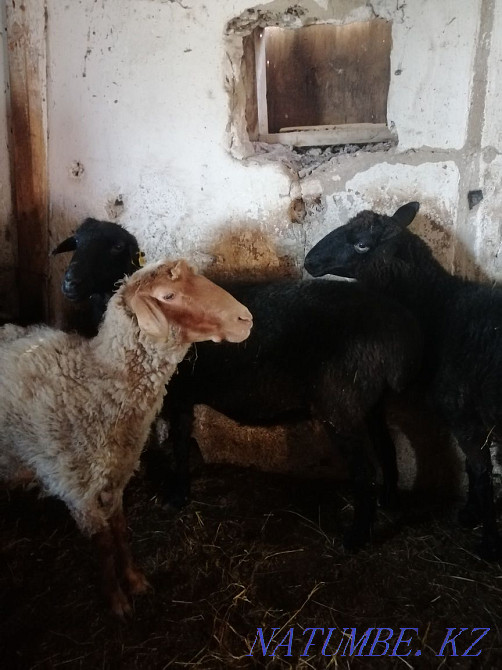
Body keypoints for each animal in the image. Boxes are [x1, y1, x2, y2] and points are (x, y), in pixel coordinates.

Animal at [0, 259, 253, 616]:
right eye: (168, 295)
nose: (245, 318)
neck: (95, 382)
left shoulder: (116, 475)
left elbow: (120, 529)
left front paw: (134, 580)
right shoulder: (76, 487)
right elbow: (104, 542)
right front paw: (116, 600)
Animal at [53, 220, 423, 550]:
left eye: (116, 247)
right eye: (77, 242)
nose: (69, 282)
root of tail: (397, 325)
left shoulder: (179, 394)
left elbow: (178, 442)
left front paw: (178, 494)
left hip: (340, 403)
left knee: (365, 471)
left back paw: (357, 537)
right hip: (370, 399)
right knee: (386, 448)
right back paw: (390, 502)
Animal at [304, 201, 502, 559]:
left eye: (362, 245)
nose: (309, 261)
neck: (439, 310)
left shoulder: (463, 414)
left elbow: (480, 473)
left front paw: (489, 541)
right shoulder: (470, 417)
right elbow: (471, 467)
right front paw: (470, 514)